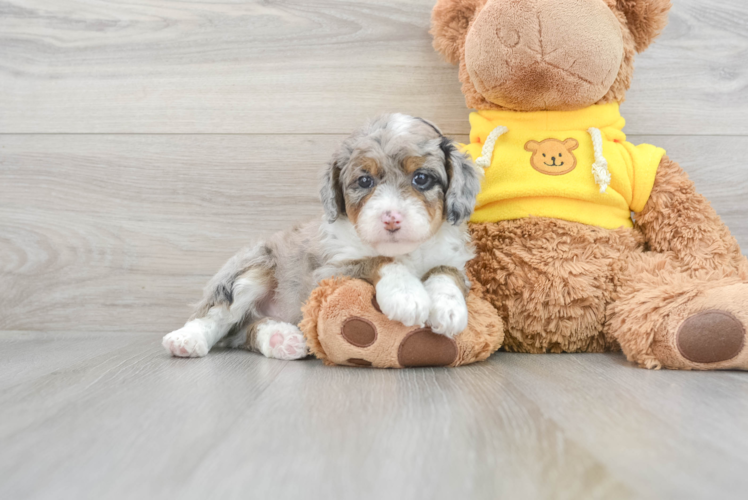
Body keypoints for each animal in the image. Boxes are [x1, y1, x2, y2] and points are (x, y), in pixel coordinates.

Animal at [162, 114, 480, 360]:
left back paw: (282, 339)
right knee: (214, 315)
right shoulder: (327, 273)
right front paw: (407, 295)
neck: (405, 250)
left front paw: (449, 308)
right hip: (252, 267)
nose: (391, 218)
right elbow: (379, 260)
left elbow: (445, 271)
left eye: (422, 178)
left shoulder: (454, 261)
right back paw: (186, 340)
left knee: (243, 331)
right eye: (365, 181)